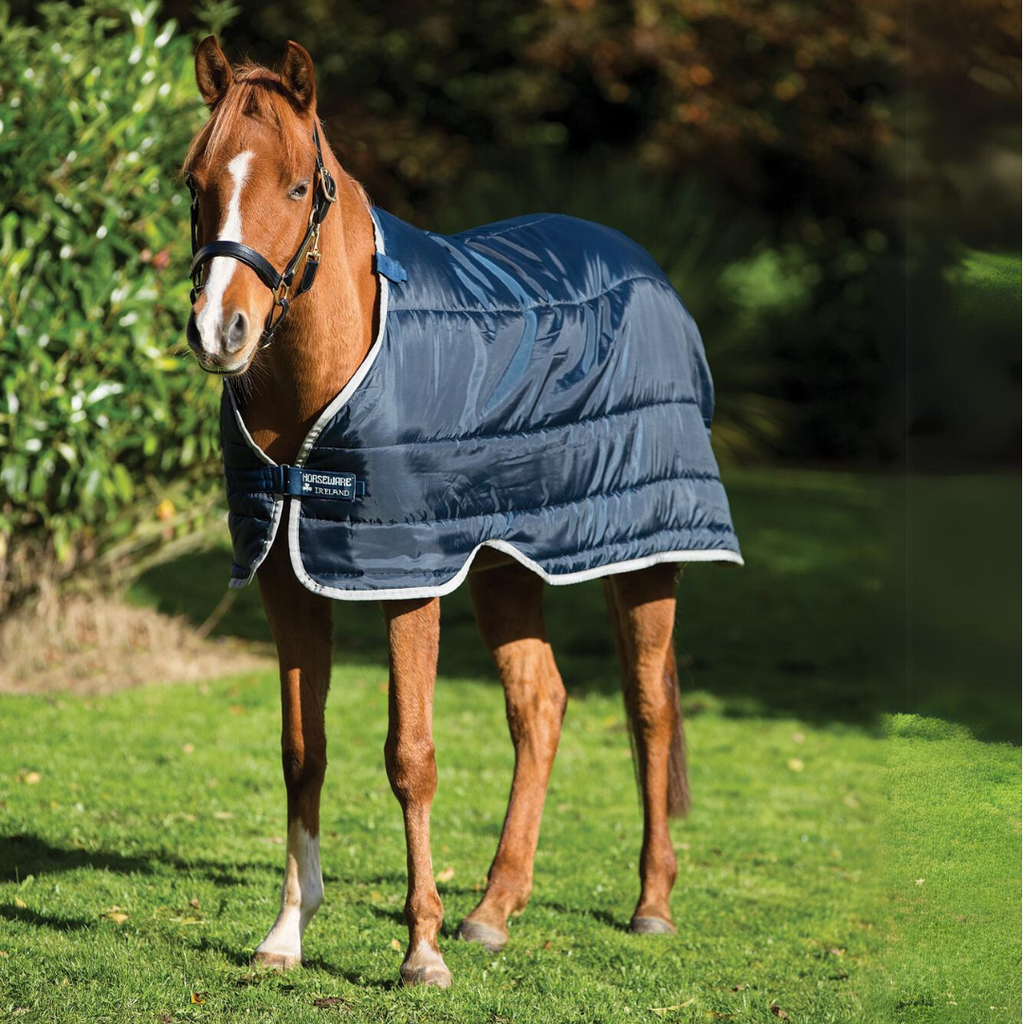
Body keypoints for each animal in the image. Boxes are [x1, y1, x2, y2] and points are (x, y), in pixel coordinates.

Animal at [182, 37, 740, 988]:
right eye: (196, 183)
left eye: (295, 187)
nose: (222, 331)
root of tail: (646, 268)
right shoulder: (288, 579)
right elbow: (303, 753)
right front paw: (286, 935)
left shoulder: (408, 581)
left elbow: (411, 757)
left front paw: (421, 952)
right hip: (506, 566)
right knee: (540, 707)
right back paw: (494, 910)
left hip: (644, 556)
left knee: (648, 710)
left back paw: (651, 905)